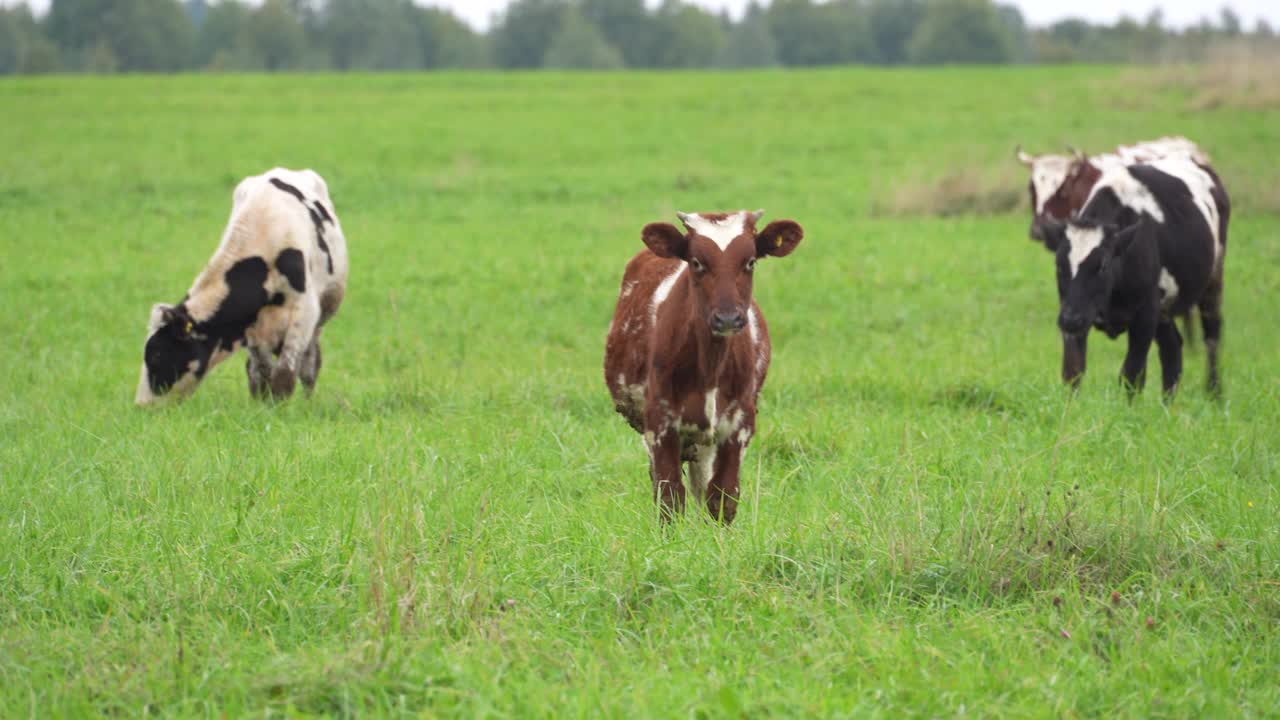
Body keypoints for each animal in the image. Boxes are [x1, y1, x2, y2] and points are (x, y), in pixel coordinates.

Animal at [133, 167, 350, 404]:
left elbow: (285, 375)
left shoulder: (304, 313)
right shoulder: (253, 327)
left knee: (310, 365)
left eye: (156, 356)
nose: (141, 405)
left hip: (322, 314)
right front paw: (265, 404)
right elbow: (263, 371)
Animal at [606, 208, 803, 520]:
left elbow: (723, 497)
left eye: (750, 262)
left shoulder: (739, 425)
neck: (710, 367)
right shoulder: (660, 424)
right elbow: (670, 498)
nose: (727, 318)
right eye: (697, 262)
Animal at [1049, 153, 1228, 394]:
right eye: (1059, 265)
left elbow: (1131, 375)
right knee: (1172, 348)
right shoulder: (1074, 311)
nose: (1071, 319)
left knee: (1212, 336)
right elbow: (1073, 373)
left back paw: (1214, 392)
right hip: (1164, 312)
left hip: (1212, 281)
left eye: (1102, 265)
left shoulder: (1145, 316)